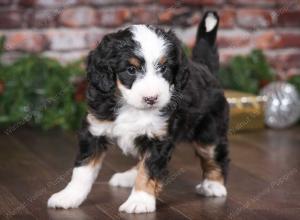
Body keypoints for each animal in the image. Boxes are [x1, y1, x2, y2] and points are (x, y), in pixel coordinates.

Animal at [47, 11, 230, 213]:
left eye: (164, 68)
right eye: (131, 70)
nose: (151, 98)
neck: (132, 107)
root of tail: (205, 68)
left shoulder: (158, 139)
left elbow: (148, 170)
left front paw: (140, 200)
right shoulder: (95, 130)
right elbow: (82, 170)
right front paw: (69, 196)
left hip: (209, 133)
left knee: (215, 156)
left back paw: (214, 185)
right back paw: (128, 177)